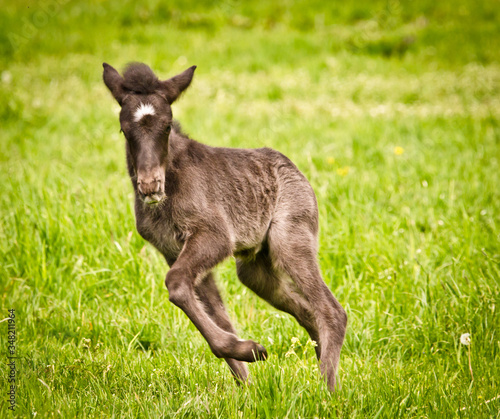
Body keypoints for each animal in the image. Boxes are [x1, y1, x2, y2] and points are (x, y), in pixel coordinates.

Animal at [102, 61, 348, 390]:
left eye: (167, 126)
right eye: (124, 130)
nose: (149, 185)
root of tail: (296, 170)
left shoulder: (215, 235)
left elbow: (176, 283)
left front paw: (252, 351)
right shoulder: (172, 250)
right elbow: (215, 312)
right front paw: (247, 377)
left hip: (290, 238)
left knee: (331, 310)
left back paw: (327, 389)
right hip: (256, 269)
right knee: (305, 310)